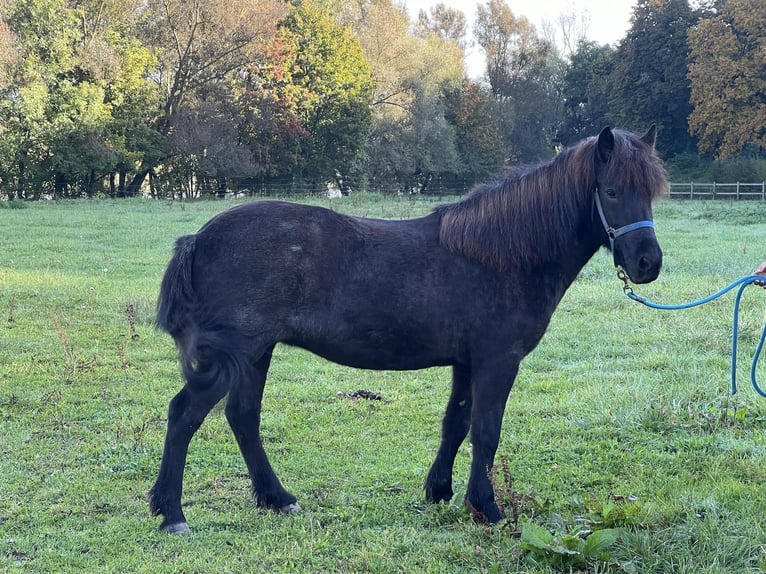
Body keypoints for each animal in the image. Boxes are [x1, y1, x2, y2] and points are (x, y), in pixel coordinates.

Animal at [148, 128, 664, 532]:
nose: (648, 264)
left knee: (242, 417)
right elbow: (486, 431)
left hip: (256, 353)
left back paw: (277, 498)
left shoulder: (467, 362)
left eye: (651, 193)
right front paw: (487, 507)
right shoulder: (497, 361)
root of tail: (200, 238)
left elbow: (456, 424)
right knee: (185, 415)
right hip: (233, 355)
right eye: (612, 191)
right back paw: (172, 513)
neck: (502, 255)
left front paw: (440, 491)